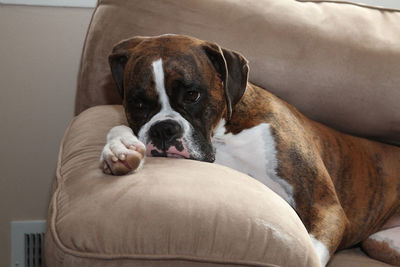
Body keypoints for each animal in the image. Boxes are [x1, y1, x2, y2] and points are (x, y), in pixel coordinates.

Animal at [99, 34, 400, 266]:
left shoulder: (323, 204)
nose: (164, 129)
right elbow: (118, 128)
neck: (222, 134)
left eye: (193, 95)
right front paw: (119, 148)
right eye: (137, 103)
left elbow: (312, 252)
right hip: (378, 242)